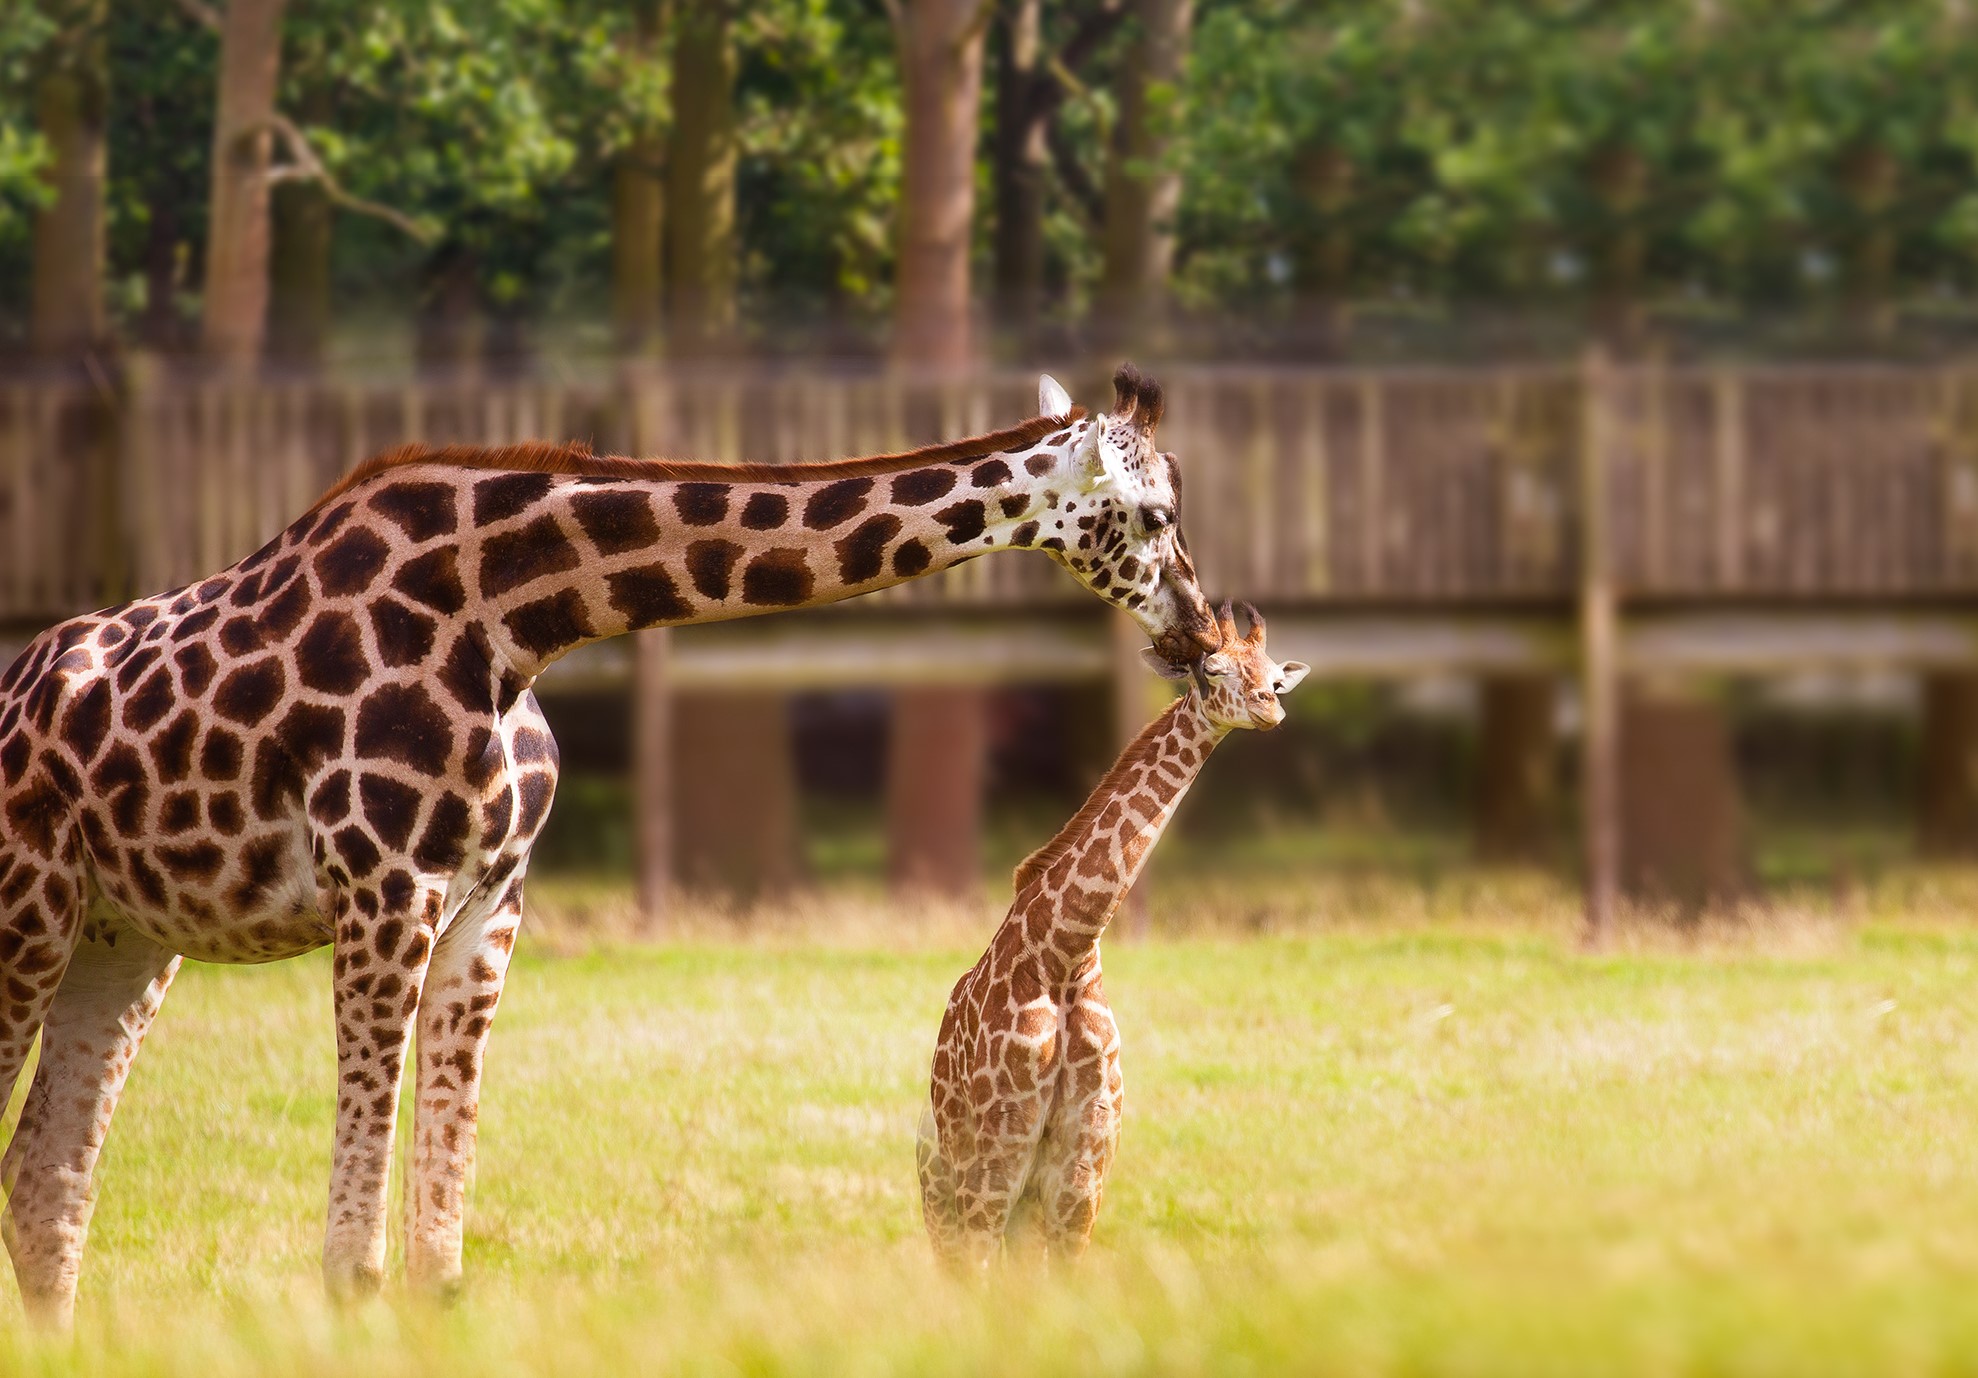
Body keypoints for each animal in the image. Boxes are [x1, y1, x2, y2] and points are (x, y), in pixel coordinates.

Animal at [0, 363, 1218, 1320]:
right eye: (1157, 515)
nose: (1203, 632)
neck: (512, 616)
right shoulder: (382, 884)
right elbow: (355, 1261)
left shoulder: (488, 902)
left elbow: (439, 1257)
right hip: (30, 913)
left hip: (121, 940)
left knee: (44, 1181)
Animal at [913, 601, 1313, 1265]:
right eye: (1212, 668)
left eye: (1275, 678)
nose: (1269, 709)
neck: (1062, 953)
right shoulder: (994, 1166)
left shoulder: (1082, 1177)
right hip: (948, 1193)